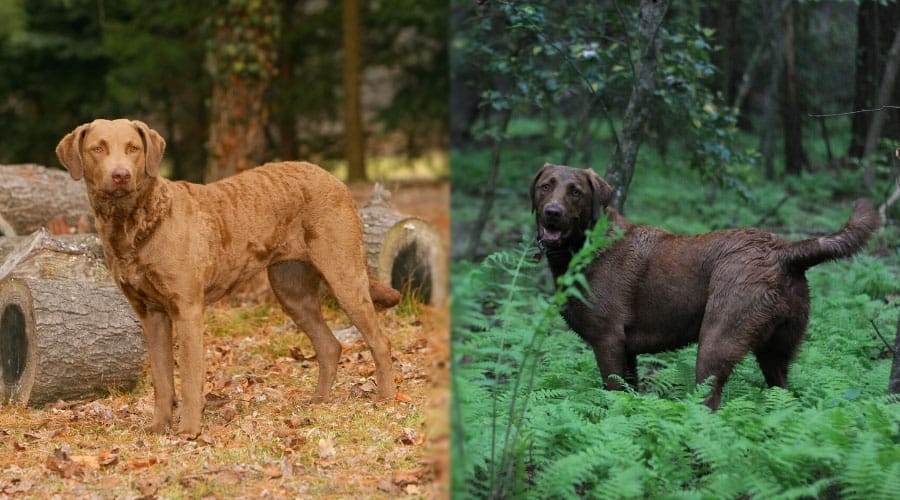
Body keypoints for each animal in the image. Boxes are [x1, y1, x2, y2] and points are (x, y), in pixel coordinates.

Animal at [532, 164, 876, 410]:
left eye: (575, 192)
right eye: (545, 186)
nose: (552, 213)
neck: (585, 248)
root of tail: (783, 251)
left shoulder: (608, 341)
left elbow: (615, 396)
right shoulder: (627, 350)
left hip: (716, 341)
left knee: (709, 404)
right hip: (777, 352)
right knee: (785, 398)